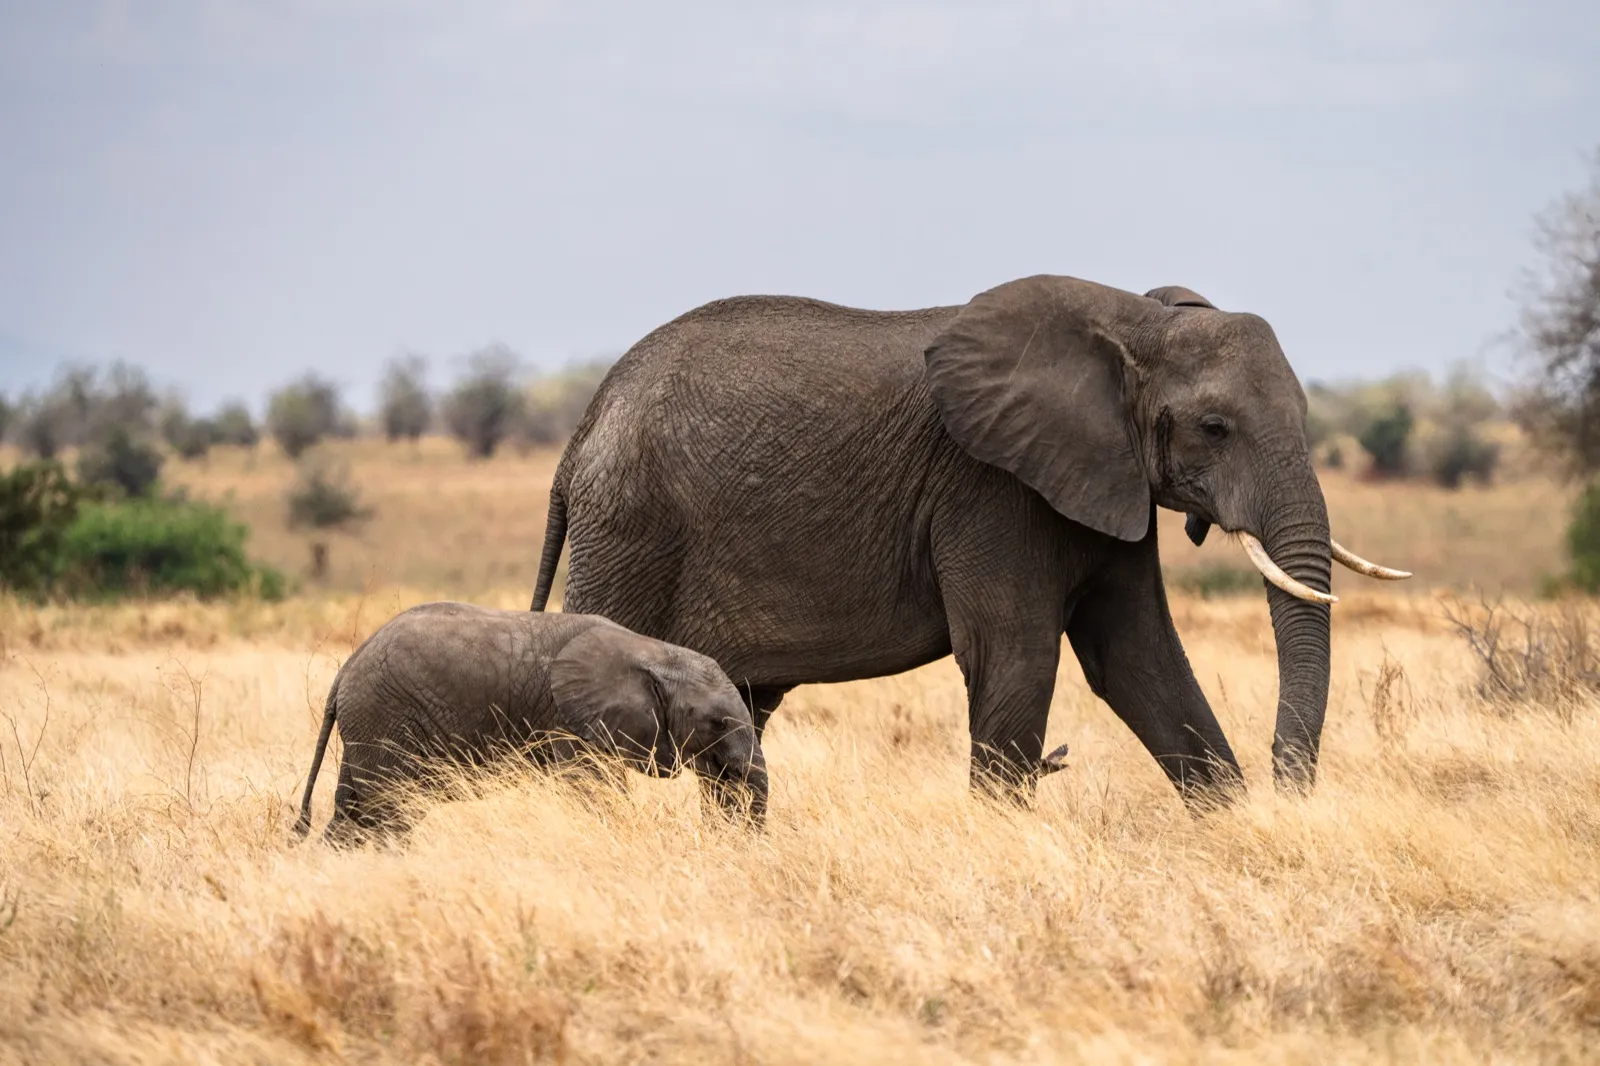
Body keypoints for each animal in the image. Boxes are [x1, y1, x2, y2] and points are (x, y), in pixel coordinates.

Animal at [292, 602, 768, 845]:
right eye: (716, 722)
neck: (652, 651)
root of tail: (346, 669)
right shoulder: (569, 720)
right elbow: (593, 791)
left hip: (371, 725)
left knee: (353, 810)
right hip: (387, 718)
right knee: (392, 810)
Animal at [528, 275, 1410, 805]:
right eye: (1216, 427)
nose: (1288, 791)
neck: (1135, 317)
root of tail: (581, 432)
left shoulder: (1100, 478)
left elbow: (1139, 658)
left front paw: (1232, 826)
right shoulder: (992, 488)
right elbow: (1017, 654)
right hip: (632, 528)